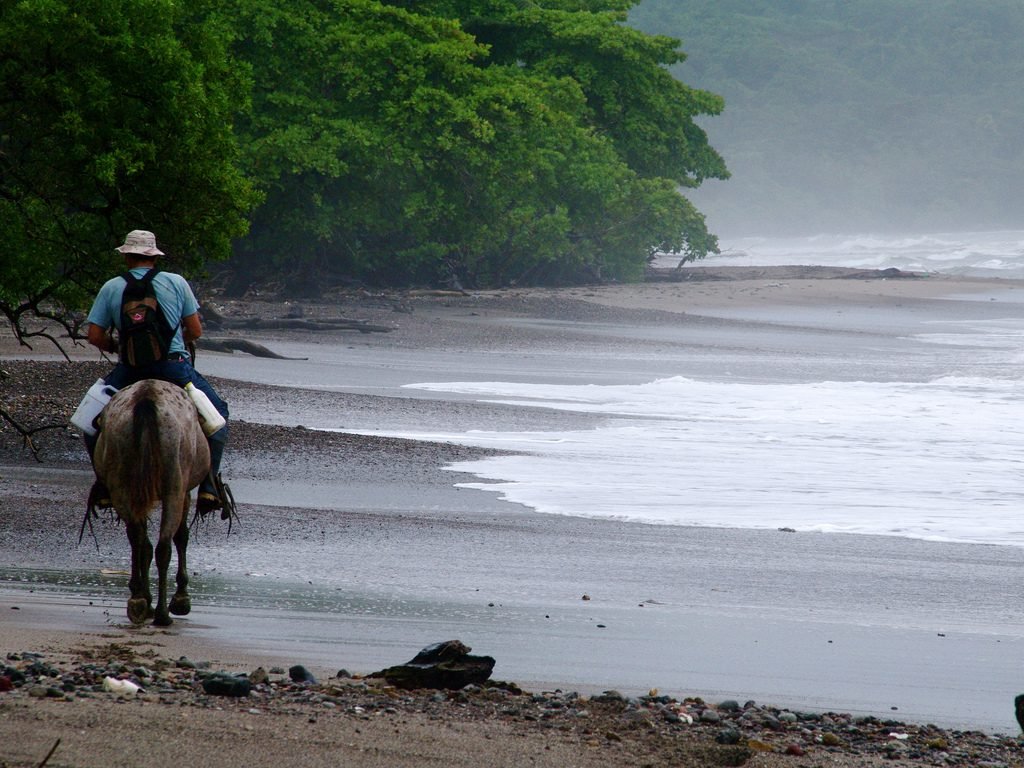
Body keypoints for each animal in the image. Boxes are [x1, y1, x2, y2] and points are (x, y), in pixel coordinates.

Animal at [92, 378, 209, 626]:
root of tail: (146, 398)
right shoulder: (185, 492)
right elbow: (181, 536)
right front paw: (181, 598)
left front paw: (144, 598)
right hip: (174, 486)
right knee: (164, 544)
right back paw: (163, 612)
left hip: (123, 487)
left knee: (139, 539)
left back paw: (139, 601)